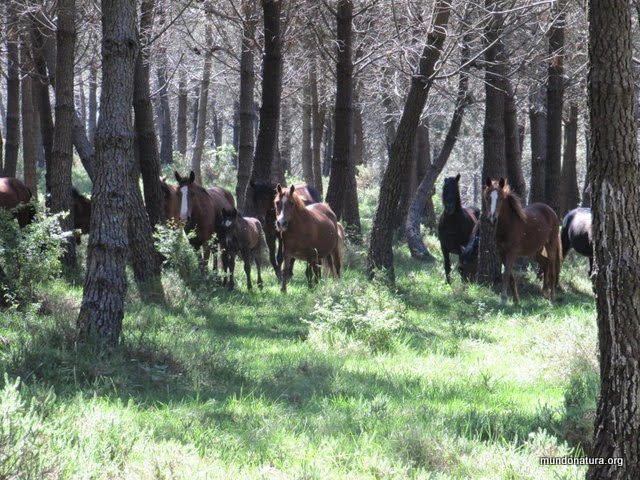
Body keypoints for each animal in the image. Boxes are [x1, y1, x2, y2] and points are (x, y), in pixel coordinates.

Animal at [484, 178, 560, 306]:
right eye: (488, 198)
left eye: (501, 198)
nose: (492, 219)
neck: (509, 224)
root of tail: (550, 211)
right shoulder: (502, 252)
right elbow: (510, 276)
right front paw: (516, 300)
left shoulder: (512, 252)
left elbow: (506, 274)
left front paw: (503, 300)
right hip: (534, 251)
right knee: (545, 263)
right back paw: (545, 290)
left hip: (551, 244)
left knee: (552, 269)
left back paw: (552, 298)